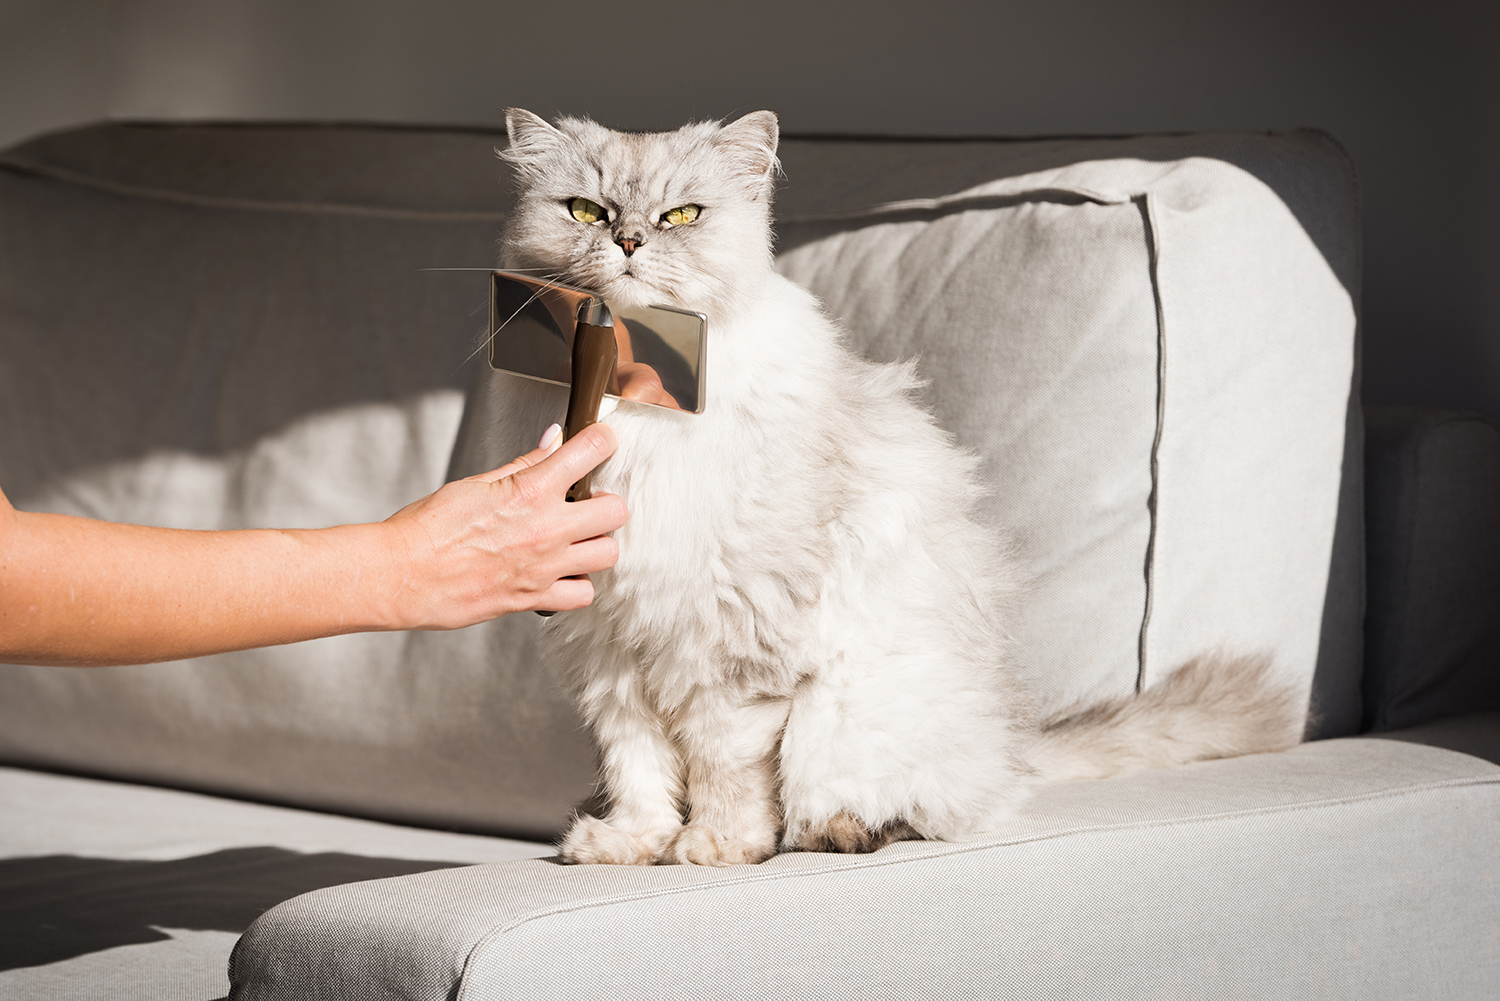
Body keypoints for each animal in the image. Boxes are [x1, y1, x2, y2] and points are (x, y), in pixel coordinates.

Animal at [495, 105, 1302, 864]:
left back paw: (838, 831)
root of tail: (1012, 746)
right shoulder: (608, 646)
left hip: (854, 712)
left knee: (909, 806)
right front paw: (631, 844)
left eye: (682, 217)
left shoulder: (731, 638)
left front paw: (716, 847)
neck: (637, 404)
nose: (630, 244)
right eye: (587, 211)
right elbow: (638, 767)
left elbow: (724, 765)